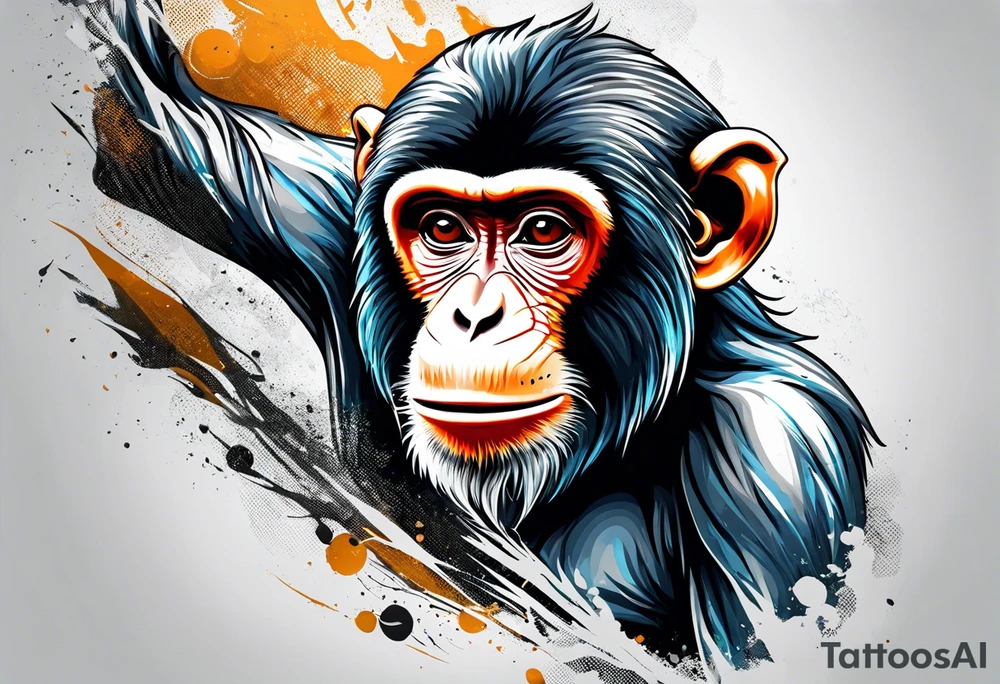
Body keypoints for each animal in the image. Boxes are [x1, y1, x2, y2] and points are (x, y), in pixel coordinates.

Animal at [62, 0, 877, 670]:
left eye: (543, 229)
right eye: (442, 227)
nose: (474, 316)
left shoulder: (775, 464)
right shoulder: (320, 209)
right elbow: (151, 120)